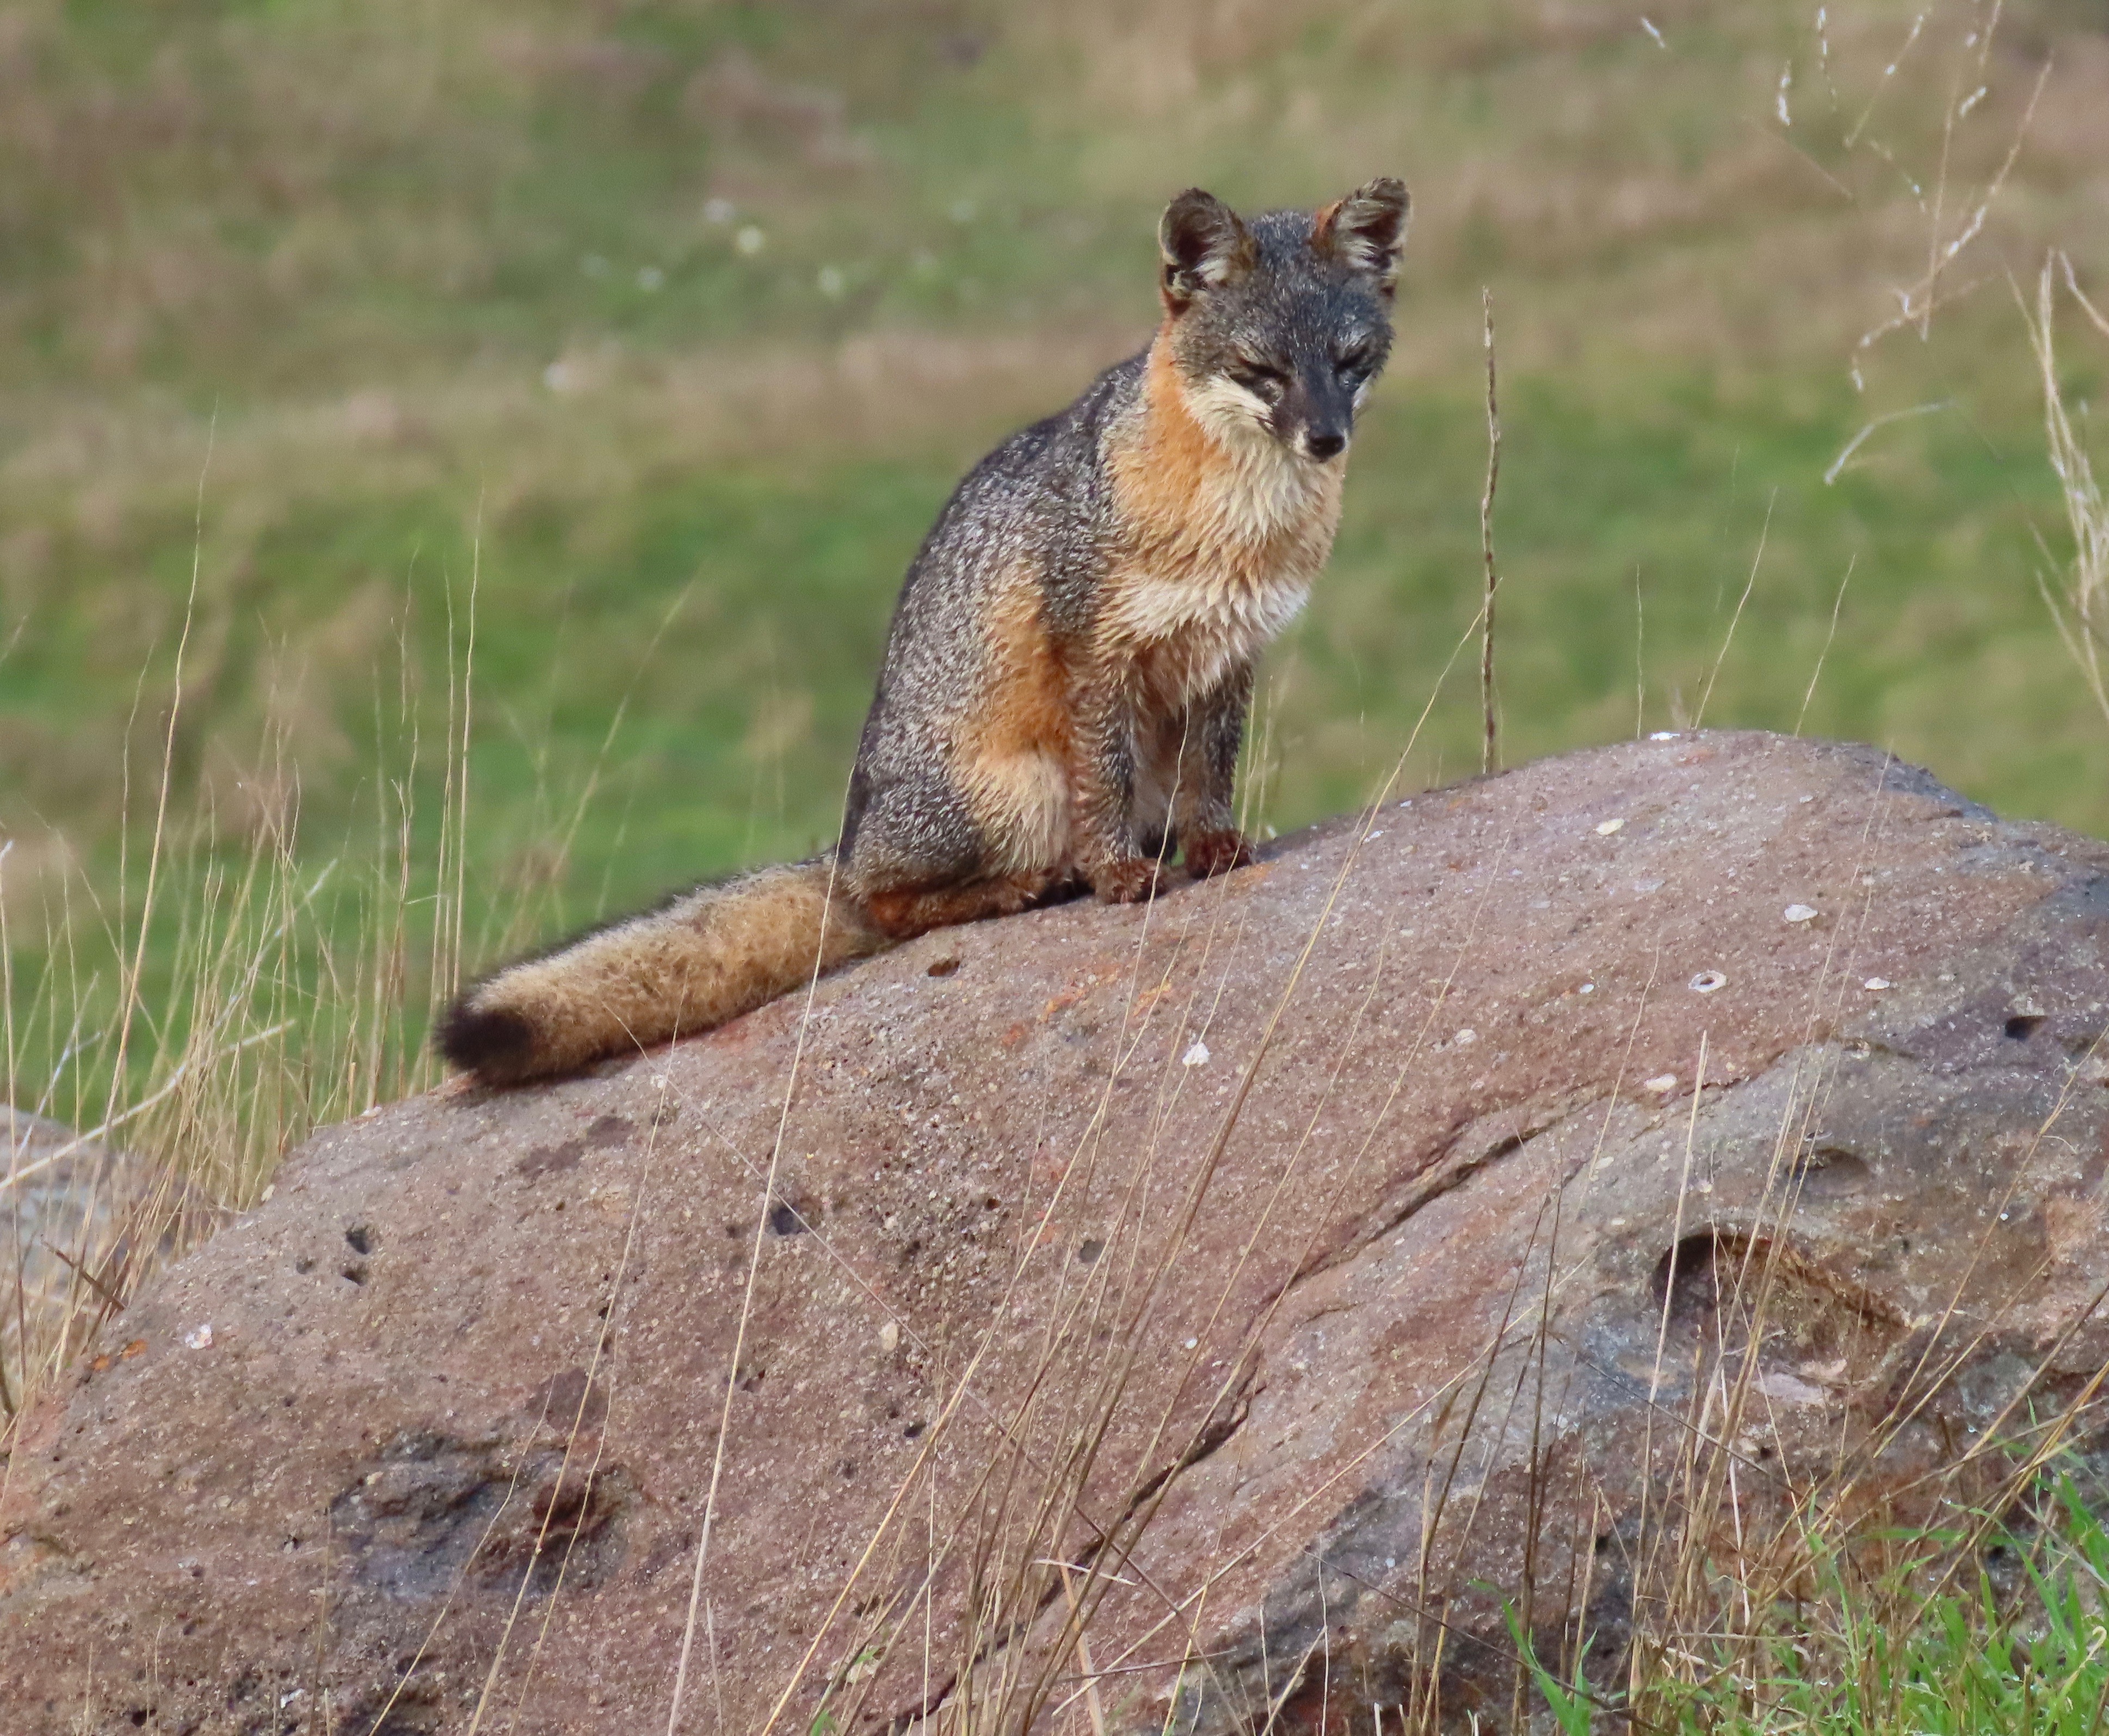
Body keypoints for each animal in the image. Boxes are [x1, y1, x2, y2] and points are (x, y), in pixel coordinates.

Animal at [441, 178, 1410, 1087]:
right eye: (1261, 369)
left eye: (1349, 360)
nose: (1326, 439)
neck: (1239, 523)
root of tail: (845, 842)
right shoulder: (1095, 652)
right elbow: (1105, 781)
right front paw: (1117, 876)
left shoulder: (1231, 648)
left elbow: (1212, 770)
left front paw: (1213, 849)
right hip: (1017, 795)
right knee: (889, 905)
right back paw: (1028, 885)